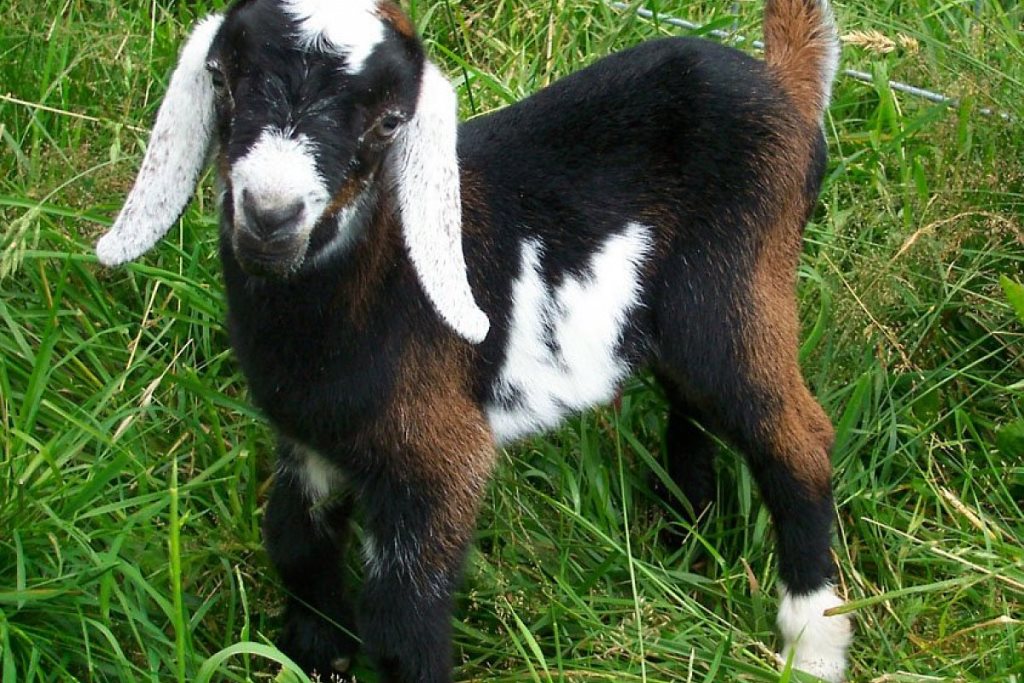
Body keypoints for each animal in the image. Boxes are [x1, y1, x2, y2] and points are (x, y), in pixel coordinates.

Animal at [96, 0, 853, 680]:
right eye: (222, 79)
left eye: (390, 120)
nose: (269, 217)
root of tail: (782, 87)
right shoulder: (313, 443)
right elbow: (293, 539)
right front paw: (316, 651)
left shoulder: (439, 456)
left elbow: (402, 617)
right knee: (693, 399)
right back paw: (686, 531)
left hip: (736, 292)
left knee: (796, 437)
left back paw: (811, 641)